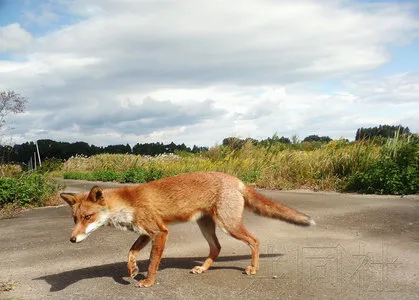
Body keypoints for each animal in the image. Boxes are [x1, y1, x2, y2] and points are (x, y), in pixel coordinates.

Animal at [60, 170, 316, 288]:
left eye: (88, 217)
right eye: (74, 219)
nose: (71, 240)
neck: (127, 203)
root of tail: (235, 179)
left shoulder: (160, 232)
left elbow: (152, 262)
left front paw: (148, 282)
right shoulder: (146, 232)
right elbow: (131, 252)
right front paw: (132, 270)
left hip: (229, 225)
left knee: (254, 241)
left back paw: (253, 268)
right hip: (207, 227)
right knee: (217, 248)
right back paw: (203, 268)